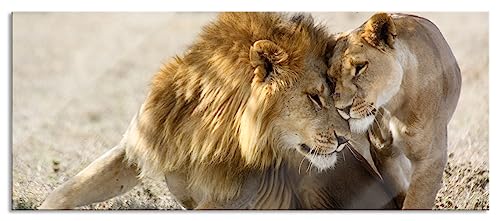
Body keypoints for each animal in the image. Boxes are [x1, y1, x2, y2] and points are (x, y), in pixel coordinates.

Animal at [40, 12, 398, 210]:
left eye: (332, 94)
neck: (207, 128)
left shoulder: (237, 195)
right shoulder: (135, 147)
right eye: (314, 97)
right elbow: (64, 194)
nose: (344, 139)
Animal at [328, 12, 460, 209]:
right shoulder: (383, 151)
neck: (393, 104)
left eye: (360, 67)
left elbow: (416, 203)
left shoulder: (430, 159)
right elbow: (399, 190)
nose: (342, 108)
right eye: (331, 78)